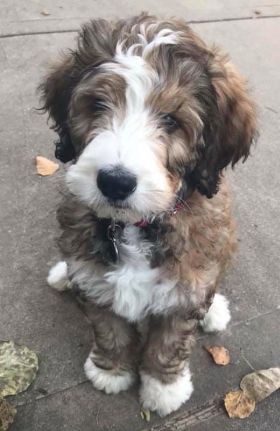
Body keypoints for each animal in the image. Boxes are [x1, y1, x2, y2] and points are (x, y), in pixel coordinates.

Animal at [40, 13, 258, 418]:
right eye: (97, 105)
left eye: (171, 121)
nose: (114, 182)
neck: (137, 224)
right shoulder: (97, 281)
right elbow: (108, 326)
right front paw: (110, 371)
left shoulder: (184, 288)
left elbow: (169, 341)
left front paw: (163, 388)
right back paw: (64, 274)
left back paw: (214, 311)